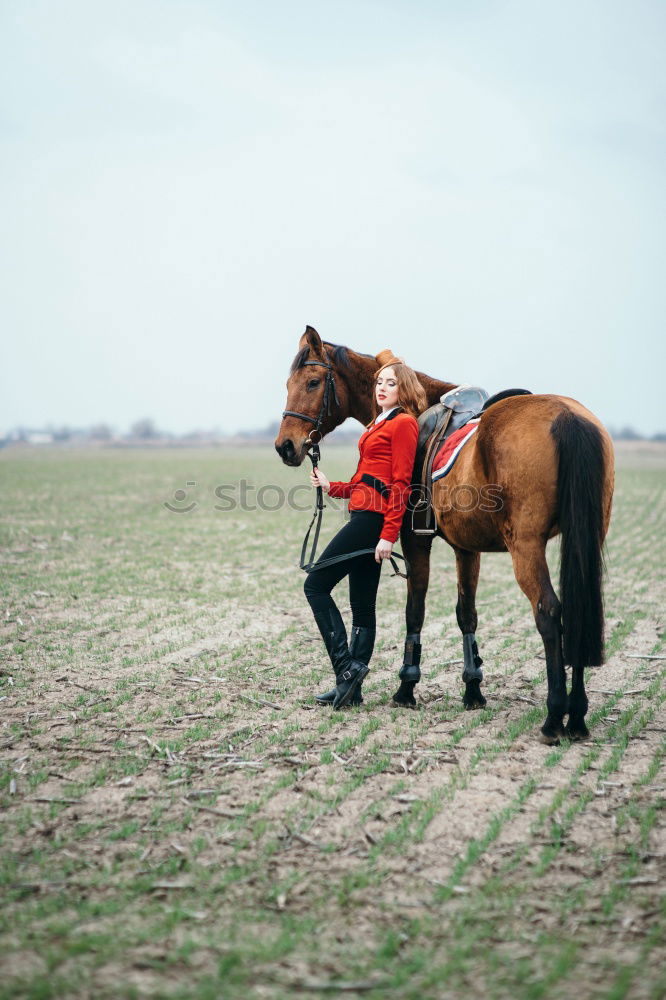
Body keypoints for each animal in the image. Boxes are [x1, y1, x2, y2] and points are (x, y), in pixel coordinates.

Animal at [274, 326, 612, 744]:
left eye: (312, 382)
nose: (285, 446)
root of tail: (567, 417)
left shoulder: (414, 540)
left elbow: (414, 610)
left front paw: (406, 688)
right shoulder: (468, 549)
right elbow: (466, 614)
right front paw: (472, 689)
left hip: (526, 547)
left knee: (549, 613)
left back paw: (554, 717)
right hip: (585, 539)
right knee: (579, 612)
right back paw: (577, 717)